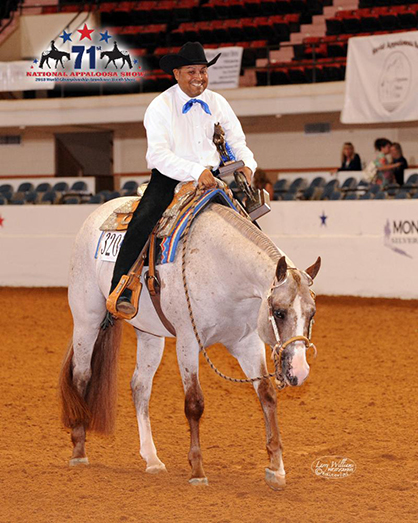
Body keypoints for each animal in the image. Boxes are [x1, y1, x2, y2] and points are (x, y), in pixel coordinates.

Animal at [58, 198, 320, 492]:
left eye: (312, 313)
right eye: (279, 312)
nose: (299, 371)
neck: (222, 266)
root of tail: (96, 214)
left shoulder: (246, 343)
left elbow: (266, 395)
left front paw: (276, 468)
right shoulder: (188, 340)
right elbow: (194, 403)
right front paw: (197, 470)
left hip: (149, 333)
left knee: (140, 386)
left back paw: (152, 459)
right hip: (86, 319)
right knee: (81, 376)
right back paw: (79, 449)